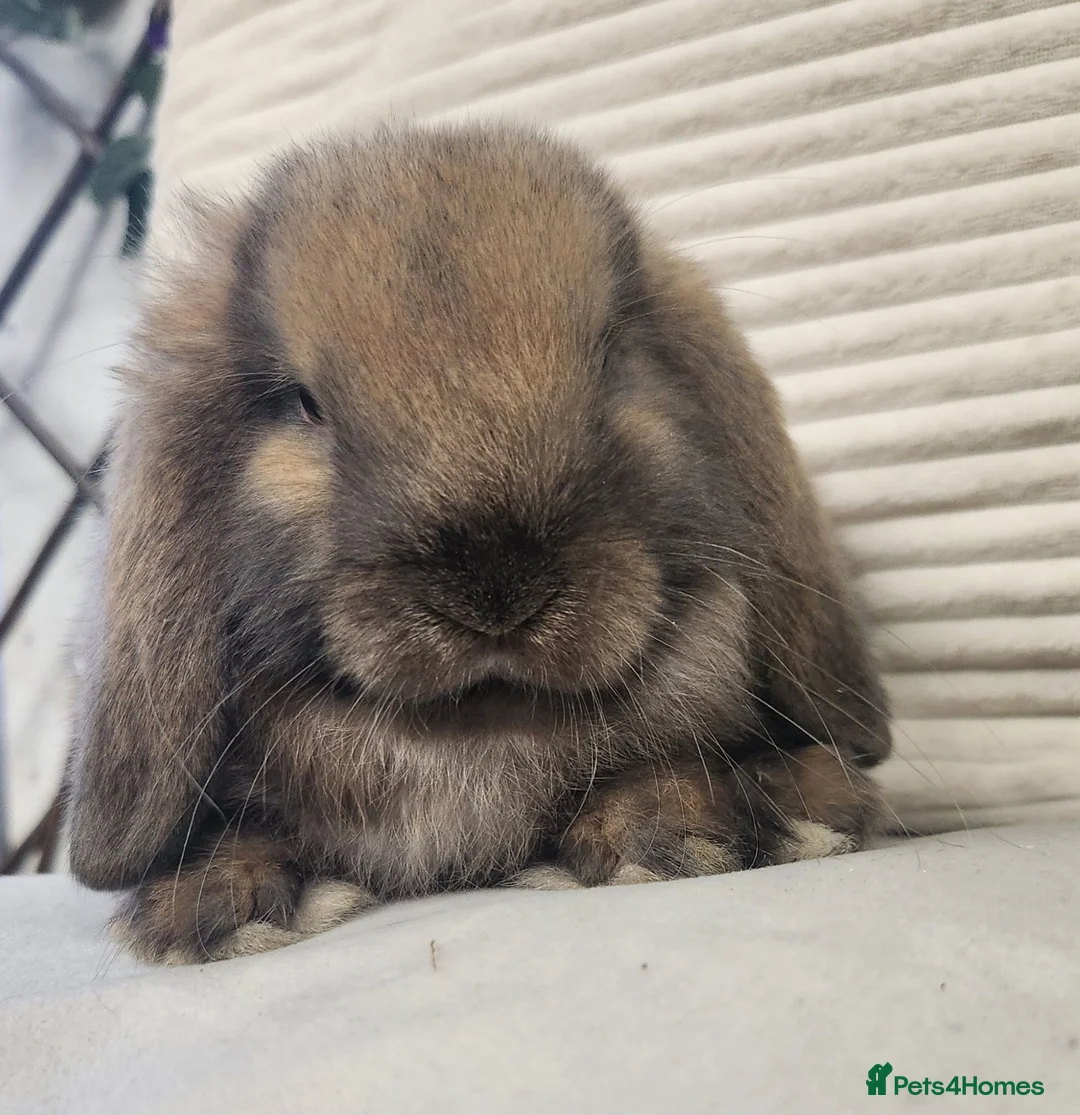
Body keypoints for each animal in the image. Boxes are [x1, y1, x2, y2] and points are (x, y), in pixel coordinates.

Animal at [65, 122, 891, 964]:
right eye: (303, 404)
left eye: (614, 359)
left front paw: (671, 834)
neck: (476, 741)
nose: (497, 589)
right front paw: (212, 909)